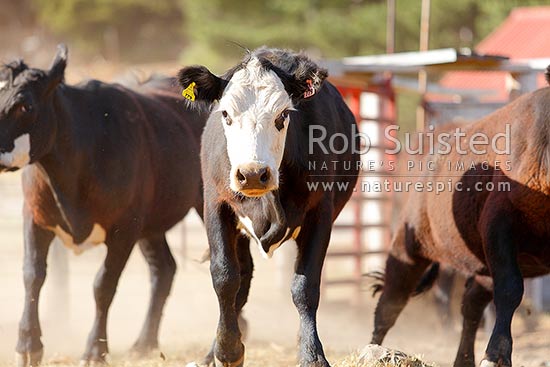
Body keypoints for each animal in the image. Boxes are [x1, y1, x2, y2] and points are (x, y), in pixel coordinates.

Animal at [0, 45, 207, 366]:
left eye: (25, 106)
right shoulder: (34, 218)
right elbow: (33, 275)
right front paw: (27, 345)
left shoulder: (124, 229)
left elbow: (103, 285)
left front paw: (95, 350)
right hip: (151, 225)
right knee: (164, 268)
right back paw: (144, 343)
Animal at [177, 47, 364, 366]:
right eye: (225, 114)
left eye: (283, 114)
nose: (252, 173)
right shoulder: (215, 205)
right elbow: (225, 277)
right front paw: (227, 350)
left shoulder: (320, 215)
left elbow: (305, 286)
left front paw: (312, 355)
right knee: (240, 282)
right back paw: (213, 352)